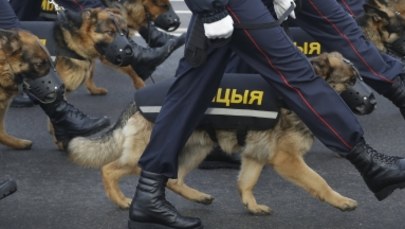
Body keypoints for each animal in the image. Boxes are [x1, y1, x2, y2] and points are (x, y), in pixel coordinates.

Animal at [68, 52, 358, 215]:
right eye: (350, 82)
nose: (367, 104)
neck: (295, 96)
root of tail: (135, 100)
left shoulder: (255, 157)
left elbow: (246, 182)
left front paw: (252, 206)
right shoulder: (288, 160)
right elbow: (318, 181)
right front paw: (340, 200)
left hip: (196, 149)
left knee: (174, 180)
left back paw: (198, 196)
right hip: (148, 155)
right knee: (108, 169)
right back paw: (120, 201)